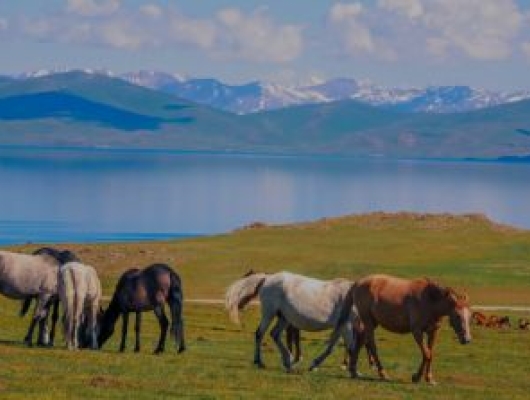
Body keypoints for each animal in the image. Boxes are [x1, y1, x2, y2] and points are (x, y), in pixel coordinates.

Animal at [223, 270, 358, 374]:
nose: (241, 306)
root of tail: (267, 278)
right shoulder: (346, 324)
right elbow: (350, 346)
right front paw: (354, 371)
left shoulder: (341, 326)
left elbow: (331, 347)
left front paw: (314, 365)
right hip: (269, 313)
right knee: (260, 333)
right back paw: (260, 362)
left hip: (284, 318)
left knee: (274, 334)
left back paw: (288, 362)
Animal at [310, 274, 470, 382]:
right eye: (457, 316)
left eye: (470, 316)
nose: (467, 340)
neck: (429, 300)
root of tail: (358, 283)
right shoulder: (417, 332)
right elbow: (426, 354)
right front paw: (417, 377)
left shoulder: (433, 332)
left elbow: (430, 354)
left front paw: (429, 378)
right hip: (368, 322)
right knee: (371, 345)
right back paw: (382, 374)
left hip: (372, 323)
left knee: (360, 342)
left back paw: (354, 371)